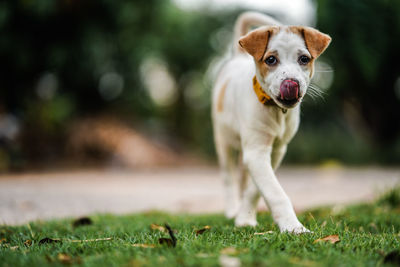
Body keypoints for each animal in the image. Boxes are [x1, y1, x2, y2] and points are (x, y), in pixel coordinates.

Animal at [212, 12, 332, 234]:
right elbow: (275, 193)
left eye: (304, 59)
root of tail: (238, 56)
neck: (276, 111)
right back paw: (232, 210)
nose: (291, 83)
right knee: (228, 178)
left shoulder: (276, 150)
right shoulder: (256, 151)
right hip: (223, 141)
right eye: (271, 59)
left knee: (243, 178)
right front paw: (294, 227)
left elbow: (256, 189)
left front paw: (245, 217)